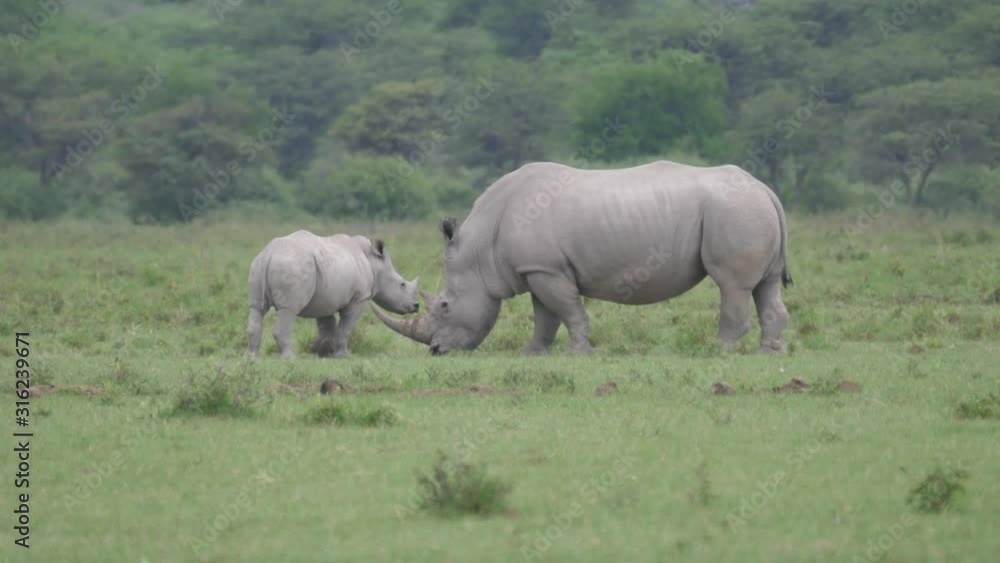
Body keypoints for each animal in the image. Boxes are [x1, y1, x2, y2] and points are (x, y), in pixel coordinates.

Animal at [247, 231, 419, 358]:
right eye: (402, 284)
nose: (416, 306)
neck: (374, 263)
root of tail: (270, 253)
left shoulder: (325, 297)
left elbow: (327, 325)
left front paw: (322, 353)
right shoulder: (360, 298)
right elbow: (345, 326)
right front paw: (344, 356)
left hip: (257, 265)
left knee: (256, 309)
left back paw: (252, 358)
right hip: (293, 267)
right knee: (288, 309)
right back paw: (289, 358)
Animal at [373, 160, 791, 355]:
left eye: (444, 305)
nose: (435, 351)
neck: (481, 251)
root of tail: (765, 188)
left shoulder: (547, 269)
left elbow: (567, 311)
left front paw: (577, 353)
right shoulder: (536, 269)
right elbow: (545, 316)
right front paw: (533, 354)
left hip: (734, 211)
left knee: (732, 285)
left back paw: (719, 350)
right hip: (748, 209)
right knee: (766, 286)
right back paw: (768, 353)